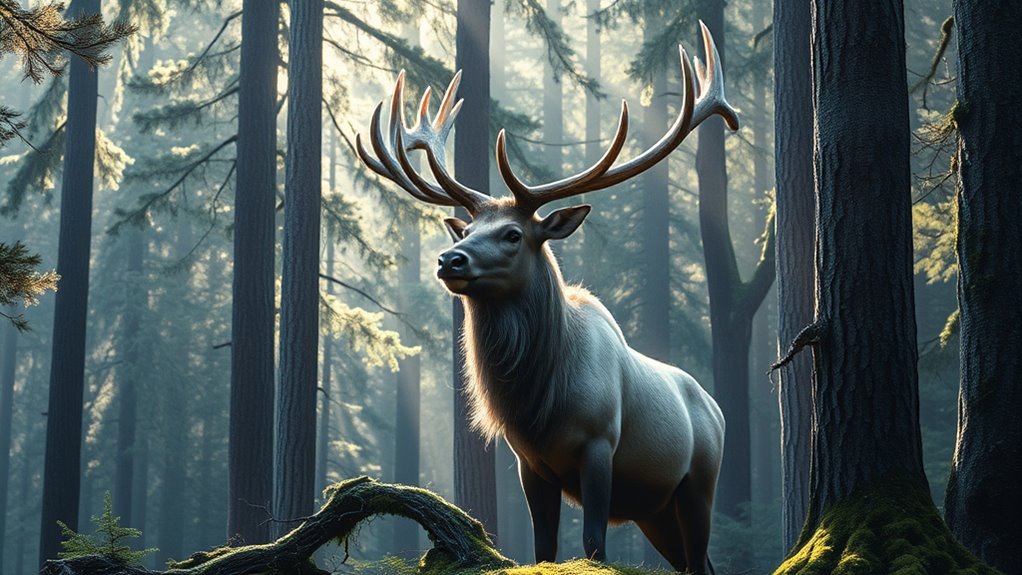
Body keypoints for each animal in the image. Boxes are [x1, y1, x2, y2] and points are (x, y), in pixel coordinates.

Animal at [356, 22, 736, 575]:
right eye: (468, 228)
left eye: (513, 234)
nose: (450, 259)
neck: (541, 400)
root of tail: (717, 409)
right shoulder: (529, 463)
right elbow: (543, 548)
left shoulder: (600, 444)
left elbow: (594, 543)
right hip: (655, 511)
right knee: (695, 562)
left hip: (698, 485)